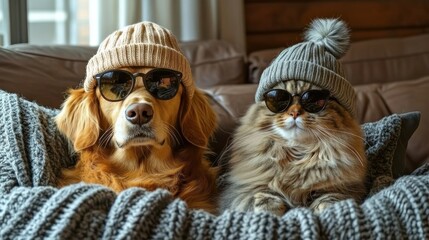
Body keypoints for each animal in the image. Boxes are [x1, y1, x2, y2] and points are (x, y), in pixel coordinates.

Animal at [219, 79, 366, 215]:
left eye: (313, 100)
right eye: (279, 99)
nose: (294, 113)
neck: (297, 155)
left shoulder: (343, 189)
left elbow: (330, 200)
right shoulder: (241, 191)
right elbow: (260, 197)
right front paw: (270, 211)